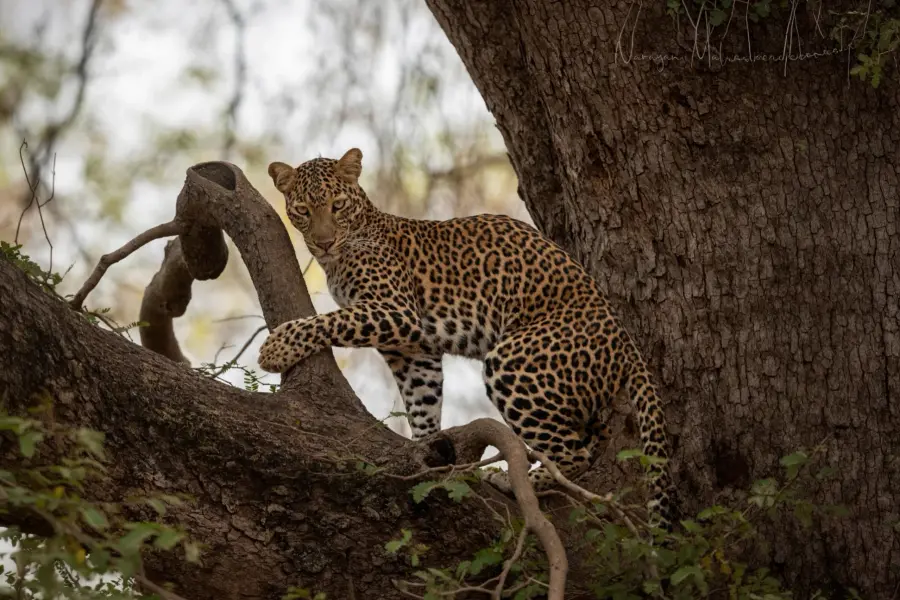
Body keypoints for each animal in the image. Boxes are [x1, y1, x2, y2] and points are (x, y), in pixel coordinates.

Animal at [258, 148, 676, 530]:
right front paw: (426, 449)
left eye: (338, 205)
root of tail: (624, 339)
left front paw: (276, 348)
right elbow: (422, 400)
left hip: (515, 362)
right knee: (593, 437)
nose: (324, 242)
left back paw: (512, 479)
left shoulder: (395, 311)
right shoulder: (414, 348)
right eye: (302, 211)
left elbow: (327, 320)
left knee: (573, 453)